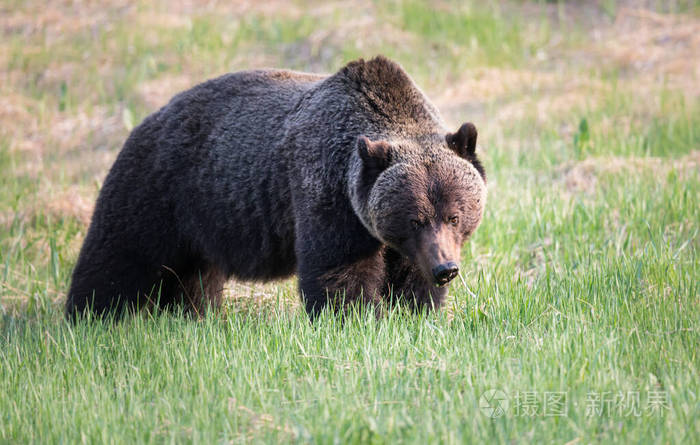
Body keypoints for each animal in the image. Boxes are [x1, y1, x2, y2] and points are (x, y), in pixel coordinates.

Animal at [65, 55, 484, 320]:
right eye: (415, 218)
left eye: (454, 215)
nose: (447, 268)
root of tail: (146, 121)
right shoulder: (326, 192)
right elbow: (338, 270)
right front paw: (358, 318)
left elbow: (409, 277)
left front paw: (415, 312)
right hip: (158, 190)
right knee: (118, 258)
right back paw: (88, 317)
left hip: (202, 221)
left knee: (192, 277)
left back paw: (194, 316)